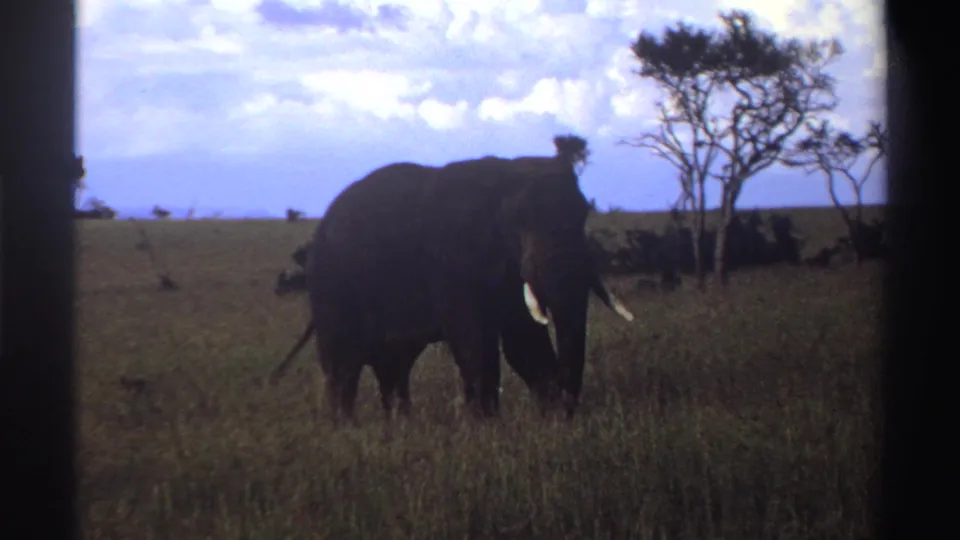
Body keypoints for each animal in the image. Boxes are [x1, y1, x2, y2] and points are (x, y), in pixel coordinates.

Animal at [301, 136, 634, 422]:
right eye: (520, 221)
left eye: (584, 214)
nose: (569, 407)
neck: (504, 177)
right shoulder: (453, 260)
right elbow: (475, 339)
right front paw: (486, 425)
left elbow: (523, 341)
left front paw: (551, 418)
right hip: (331, 287)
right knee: (344, 365)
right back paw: (347, 429)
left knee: (393, 364)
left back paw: (399, 425)